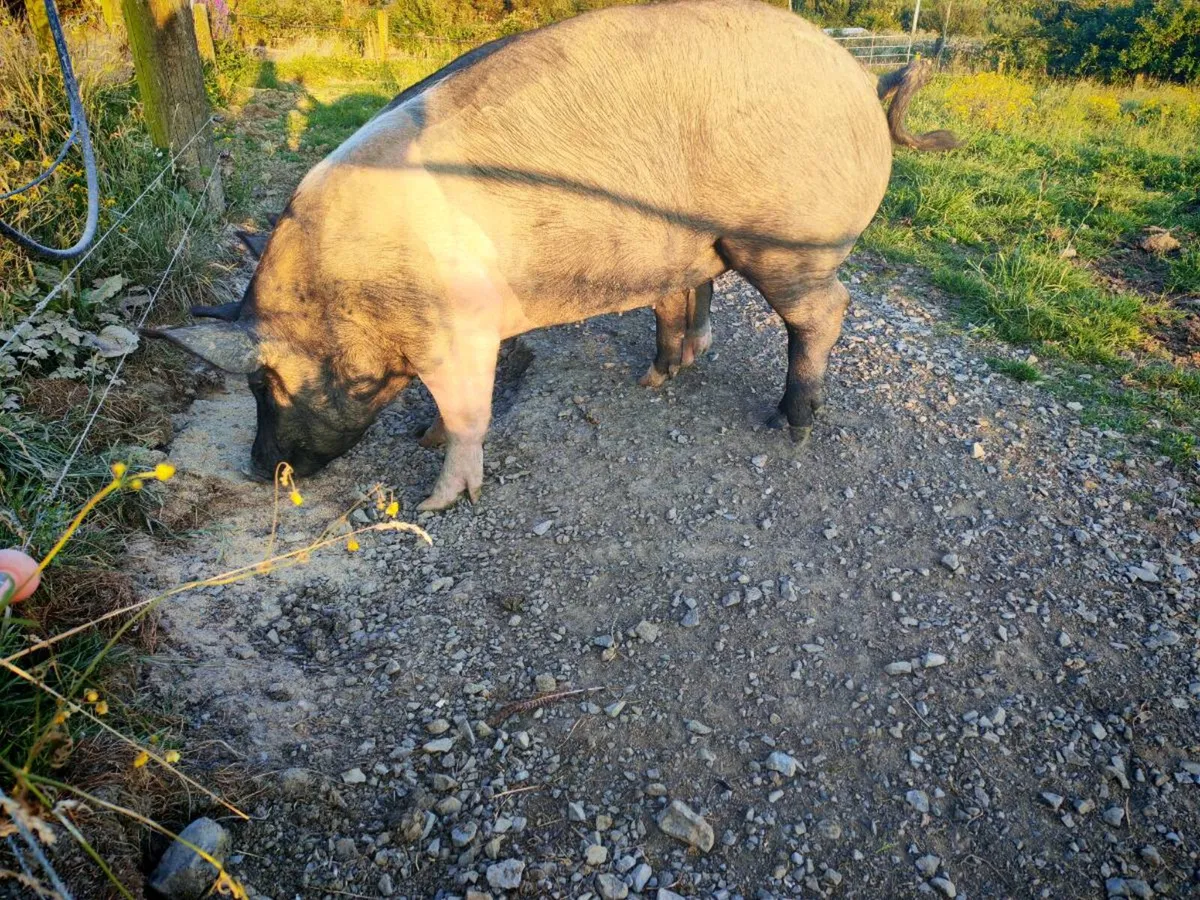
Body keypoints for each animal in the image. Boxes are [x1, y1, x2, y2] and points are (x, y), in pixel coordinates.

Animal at [154, 0, 957, 511]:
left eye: (264, 383)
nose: (261, 469)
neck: (351, 282)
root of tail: (863, 82)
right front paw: (420, 435)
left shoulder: (463, 327)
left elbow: (470, 414)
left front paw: (437, 501)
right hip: (704, 243)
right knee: (691, 296)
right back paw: (654, 380)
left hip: (786, 242)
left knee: (825, 312)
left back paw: (788, 424)